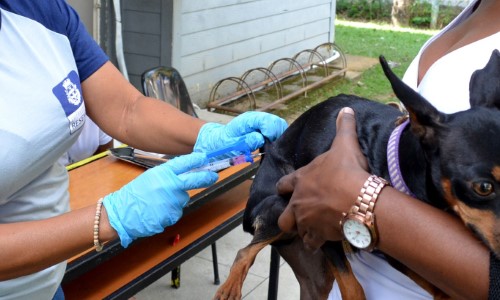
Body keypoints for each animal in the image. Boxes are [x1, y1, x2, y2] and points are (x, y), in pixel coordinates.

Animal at [214, 50, 500, 298]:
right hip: (280, 205)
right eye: (483, 187)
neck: (395, 157)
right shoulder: (317, 219)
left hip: (313, 271)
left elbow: (437, 286)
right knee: (244, 253)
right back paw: (229, 287)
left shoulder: (396, 252)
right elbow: (353, 288)